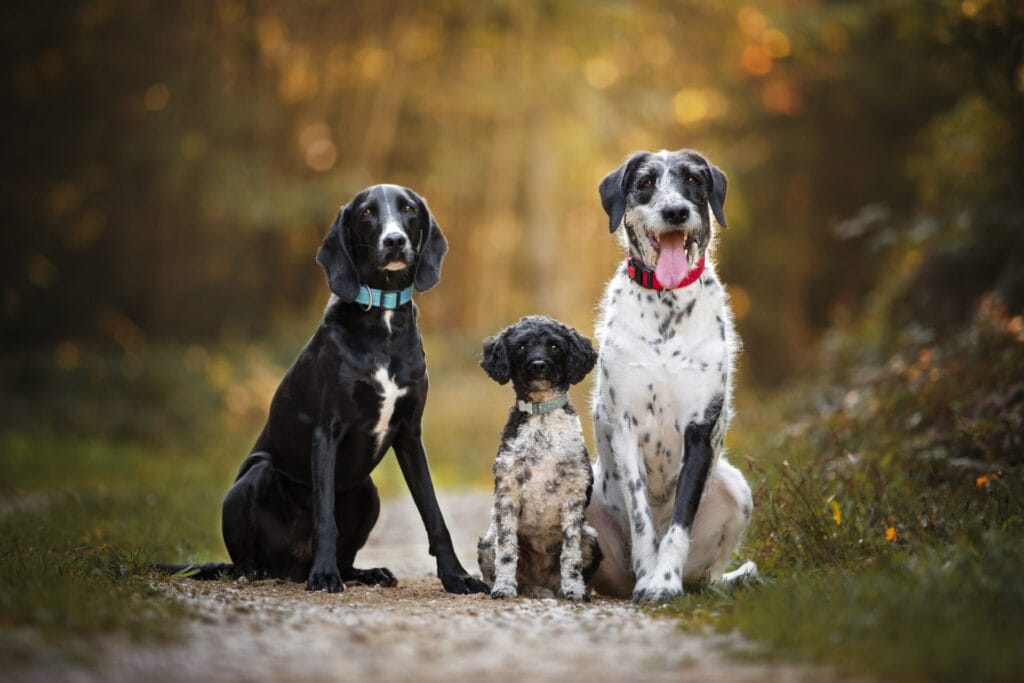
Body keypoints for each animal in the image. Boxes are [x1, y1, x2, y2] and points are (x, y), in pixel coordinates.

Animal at [168, 185, 487, 593]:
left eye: (408, 208)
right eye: (367, 212)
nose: (395, 241)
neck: (382, 314)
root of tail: (291, 567)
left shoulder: (410, 434)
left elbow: (434, 514)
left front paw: (456, 576)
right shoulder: (326, 432)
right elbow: (325, 518)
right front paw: (324, 576)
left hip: (367, 490)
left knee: (348, 556)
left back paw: (365, 573)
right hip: (256, 473)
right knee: (246, 555)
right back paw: (263, 570)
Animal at [477, 317, 602, 602]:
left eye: (555, 346)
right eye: (521, 346)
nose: (538, 365)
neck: (542, 418)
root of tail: (539, 581)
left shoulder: (574, 497)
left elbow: (570, 555)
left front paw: (575, 590)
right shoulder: (507, 494)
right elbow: (507, 551)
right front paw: (504, 587)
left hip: (590, 537)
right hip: (488, 541)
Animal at [585, 149, 761, 602]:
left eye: (694, 181)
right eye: (646, 182)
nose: (675, 211)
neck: (666, 305)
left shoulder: (700, 430)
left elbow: (679, 522)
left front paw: (664, 581)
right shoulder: (625, 428)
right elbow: (643, 518)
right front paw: (650, 573)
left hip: (736, 488)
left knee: (708, 574)